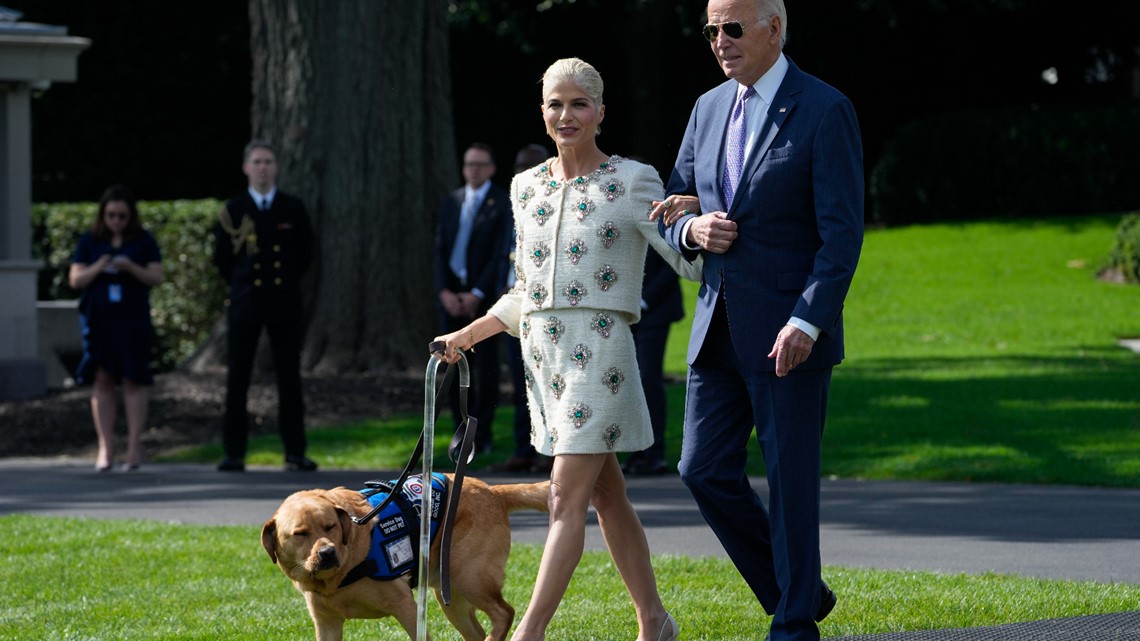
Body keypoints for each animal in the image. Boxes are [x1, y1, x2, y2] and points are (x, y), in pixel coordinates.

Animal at [266, 472, 551, 634]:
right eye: (300, 533)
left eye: (330, 526)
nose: (327, 552)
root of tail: (493, 491)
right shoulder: (326, 622)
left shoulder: (406, 606)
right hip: (450, 595)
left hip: (470, 578)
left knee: (504, 613)